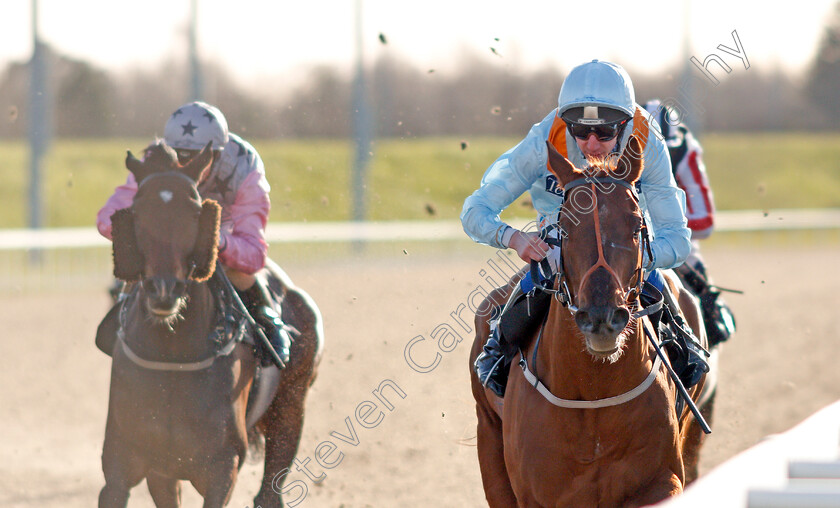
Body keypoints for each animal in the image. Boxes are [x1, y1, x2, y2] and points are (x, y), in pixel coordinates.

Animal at [97, 140, 322, 508]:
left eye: (194, 212)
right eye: (138, 211)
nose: (164, 289)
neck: (173, 358)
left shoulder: (222, 467)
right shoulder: (125, 463)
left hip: (292, 405)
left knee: (270, 491)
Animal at [466, 136, 716, 508]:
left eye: (636, 226)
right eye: (564, 229)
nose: (602, 317)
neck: (592, 394)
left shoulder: (661, 481)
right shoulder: (533, 492)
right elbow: (476, 207)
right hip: (490, 445)